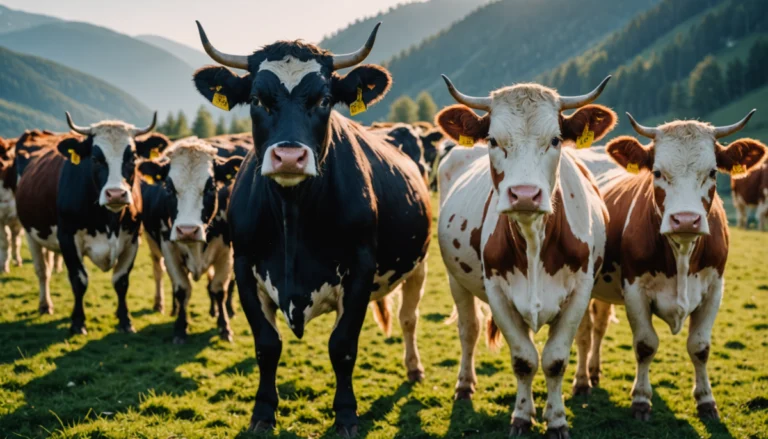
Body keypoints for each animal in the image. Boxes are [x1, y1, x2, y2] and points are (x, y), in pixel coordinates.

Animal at [15, 113, 168, 332]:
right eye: (95, 159)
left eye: (133, 158)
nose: (116, 194)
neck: (109, 221)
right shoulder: (67, 238)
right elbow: (79, 280)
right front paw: (78, 323)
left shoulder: (132, 238)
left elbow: (121, 281)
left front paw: (125, 320)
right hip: (30, 233)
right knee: (42, 271)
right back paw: (45, 305)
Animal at [138, 137, 243, 343]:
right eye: (169, 188)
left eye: (211, 187)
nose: (187, 231)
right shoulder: (168, 248)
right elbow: (182, 289)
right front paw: (180, 327)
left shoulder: (227, 252)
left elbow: (219, 288)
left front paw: (224, 326)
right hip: (153, 246)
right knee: (159, 271)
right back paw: (165, 306)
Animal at [192, 22, 432, 435]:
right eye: (256, 99)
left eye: (324, 100)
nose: (289, 156)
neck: (293, 214)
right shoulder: (244, 266)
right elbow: (267, 345)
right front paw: (263, 412)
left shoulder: (360, 269)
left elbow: (343, 345)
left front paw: (346, 414)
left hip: (418, 266)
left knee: (408, 318)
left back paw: (414, 368)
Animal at [436, 75, 616, 438]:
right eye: (493, 139)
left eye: (556, 139)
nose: (524, 195)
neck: (533, 240)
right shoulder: (498, 295)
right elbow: (524, 359)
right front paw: (522, 415)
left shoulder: (580, 292)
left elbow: (555, 359)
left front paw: (556, 419)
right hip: (455, 280)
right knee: (468, 329)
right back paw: (465, 385)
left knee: (588, 331)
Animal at [583, 111, 766, 421]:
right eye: (657, 173)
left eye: (712, 172)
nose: (686, 220)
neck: (681, 253)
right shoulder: (635, 290)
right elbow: (645, 345)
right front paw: (641, 400)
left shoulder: (715, 289)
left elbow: (700, 347)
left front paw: (706, 401)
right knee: (583, 330)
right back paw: (581, 381)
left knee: (598, 326)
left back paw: (594, 373)